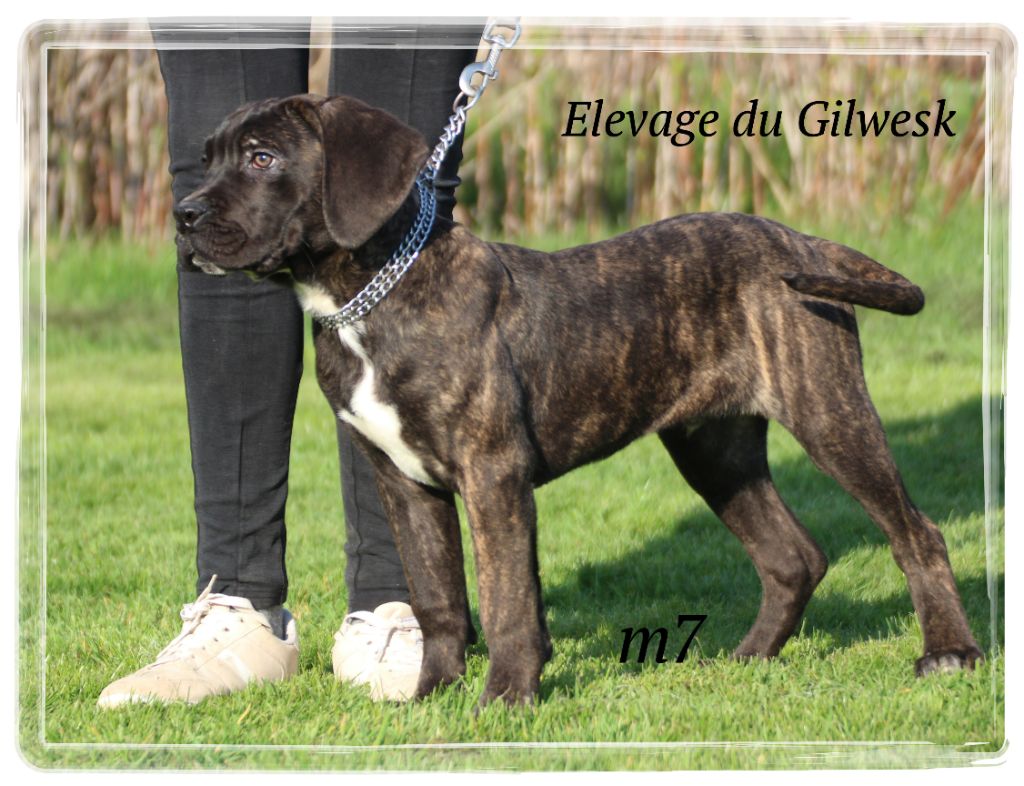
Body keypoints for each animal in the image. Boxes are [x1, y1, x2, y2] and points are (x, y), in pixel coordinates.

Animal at [173, 94, 983, 706]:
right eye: (208, 158)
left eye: (262, 158)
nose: (183, 214)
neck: (374, 292)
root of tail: (799, 241)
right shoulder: (404, 482)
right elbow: (439, 597)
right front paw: (431, 698)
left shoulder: (492, 475)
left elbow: (505, 601)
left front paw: (504, 701)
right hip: (715, 449)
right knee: (794, 557)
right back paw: (747, 659)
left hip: (828, 412)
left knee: (915, 533)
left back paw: (949, 653)